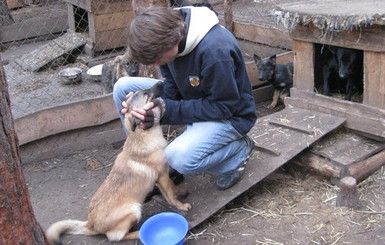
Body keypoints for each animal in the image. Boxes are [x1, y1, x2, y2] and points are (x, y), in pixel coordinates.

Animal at [45, 81, 191, 244]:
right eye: (146, 94)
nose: (161, 82)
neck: (142, 135)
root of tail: (91, 224)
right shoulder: (162, 176)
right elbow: (171, 195)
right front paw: (181, 205)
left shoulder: (162, 178)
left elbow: (173, 188)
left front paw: (181, 192)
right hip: (134, 211)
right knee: (117, 237)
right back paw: (138, 233)